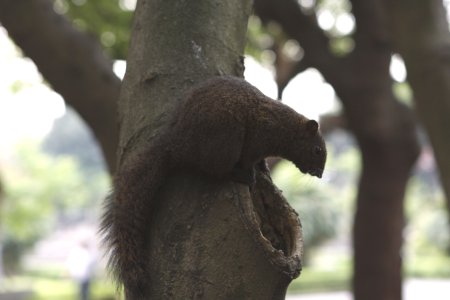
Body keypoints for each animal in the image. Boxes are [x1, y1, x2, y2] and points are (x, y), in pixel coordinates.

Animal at [100, 75, 326, 298]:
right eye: (317, 150)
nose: (319, 174)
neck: (284, 128)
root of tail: (177, 146)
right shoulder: (258, 138)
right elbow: (249, 157)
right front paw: (252, 170)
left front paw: (263, 167)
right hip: (226, 140)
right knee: (214, 170)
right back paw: (240, 174)